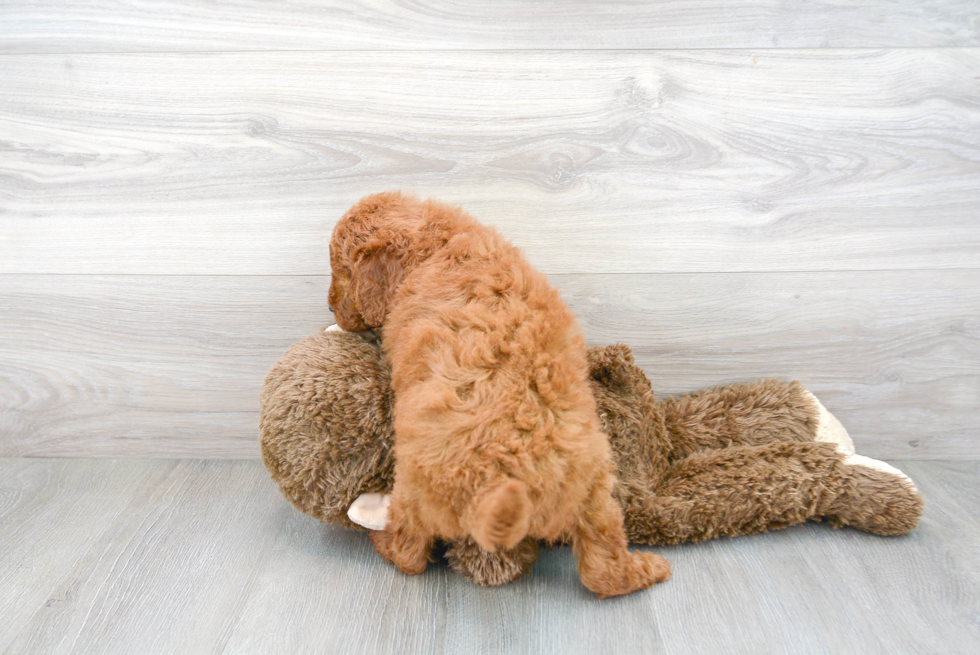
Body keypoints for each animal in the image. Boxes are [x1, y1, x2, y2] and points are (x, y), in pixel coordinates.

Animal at [328, 192, 668, 596]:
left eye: (342, 270)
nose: (330, 306)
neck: (438, 244)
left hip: (416, 485)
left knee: (409, 554)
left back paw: (381, 536)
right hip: (597, 490)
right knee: (604, 569)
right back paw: (650, 569)